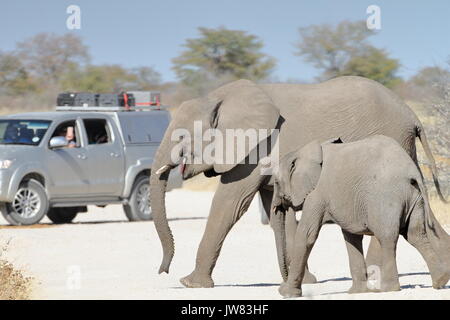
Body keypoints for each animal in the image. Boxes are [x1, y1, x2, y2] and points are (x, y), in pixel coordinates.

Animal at [272, 134, 448, 298]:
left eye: (275, 183)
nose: (280, 286)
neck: (303, 151)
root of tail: (412, 172)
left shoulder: (316, 195)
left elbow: (306, 235)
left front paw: (286, 293)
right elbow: (351, 237)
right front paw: (357, 292)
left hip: (386, 198)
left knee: (387, 238)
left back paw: (388, 289)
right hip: (415, 198)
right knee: (415, 235)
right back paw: (441, 281)